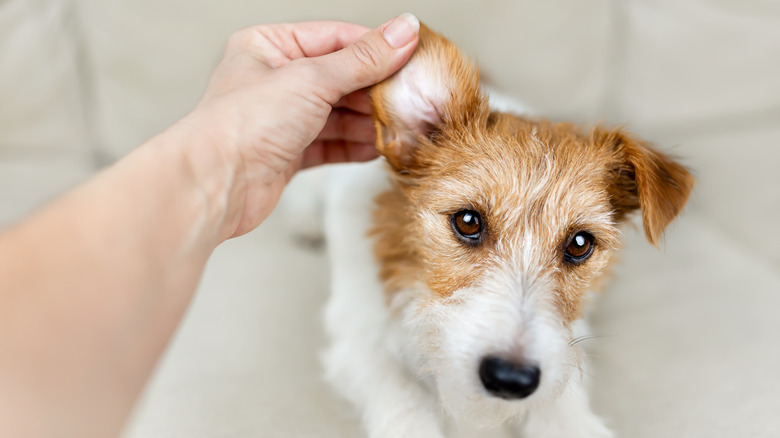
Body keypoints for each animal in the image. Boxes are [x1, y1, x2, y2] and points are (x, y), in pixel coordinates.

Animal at [284, 24, 692, 438]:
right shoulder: (356, 339)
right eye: (468, 221)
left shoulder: (565, 343)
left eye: (580, 244)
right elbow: (402, 398)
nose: (510, 379)